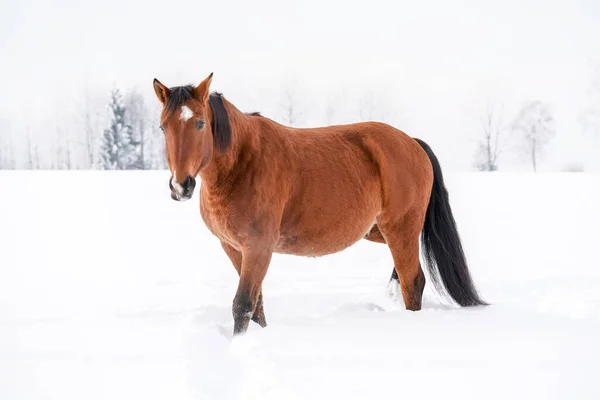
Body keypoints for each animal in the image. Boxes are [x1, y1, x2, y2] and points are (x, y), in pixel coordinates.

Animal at [152, 73, 486, 336]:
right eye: (163, 127)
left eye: (199, 124)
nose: (181, 186)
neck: (242, 162)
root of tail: (412, 142)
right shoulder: (234, 248)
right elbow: (257, 305)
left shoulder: (259, 247)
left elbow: (243, 305)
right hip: (379, 230)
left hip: (399, 228)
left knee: (413, 281)